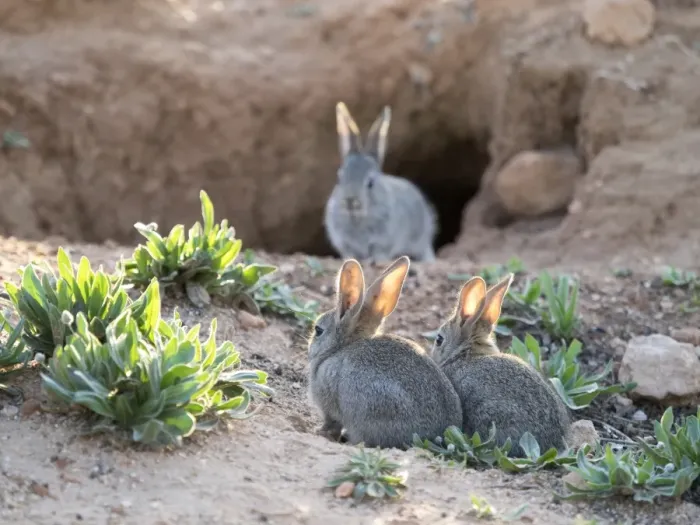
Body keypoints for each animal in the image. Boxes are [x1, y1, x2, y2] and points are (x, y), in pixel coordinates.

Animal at [307, 256, 462, 449]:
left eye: (318, 330)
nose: (309, 347)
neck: (339, 349)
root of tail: (437, 437)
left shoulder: (329, 406)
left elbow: (331, 423)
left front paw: (319, 432)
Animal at [323, 102, 438, 265]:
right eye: (339, 178)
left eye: (370, 183)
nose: (351, 201)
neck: (358, 218)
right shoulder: (343, 241)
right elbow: (349, 252)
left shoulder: (384, 239)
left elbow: (379, 251)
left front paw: (377, 261)